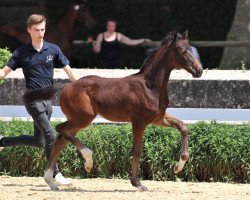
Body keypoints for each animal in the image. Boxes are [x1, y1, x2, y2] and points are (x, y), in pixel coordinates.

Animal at [23, 30, 203, 191]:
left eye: (191, 48)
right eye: (182, 50)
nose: (199, 70)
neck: (150, 86)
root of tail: (66, 86)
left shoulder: (157, 118)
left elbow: (183, 126)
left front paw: (178, 167)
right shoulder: (139, 122)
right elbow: (137, 151)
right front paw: (137, 183)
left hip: (78, 120)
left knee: (61, 139)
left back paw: (52, 182)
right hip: (84, 118)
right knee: (60, 129)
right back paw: (88, 159)